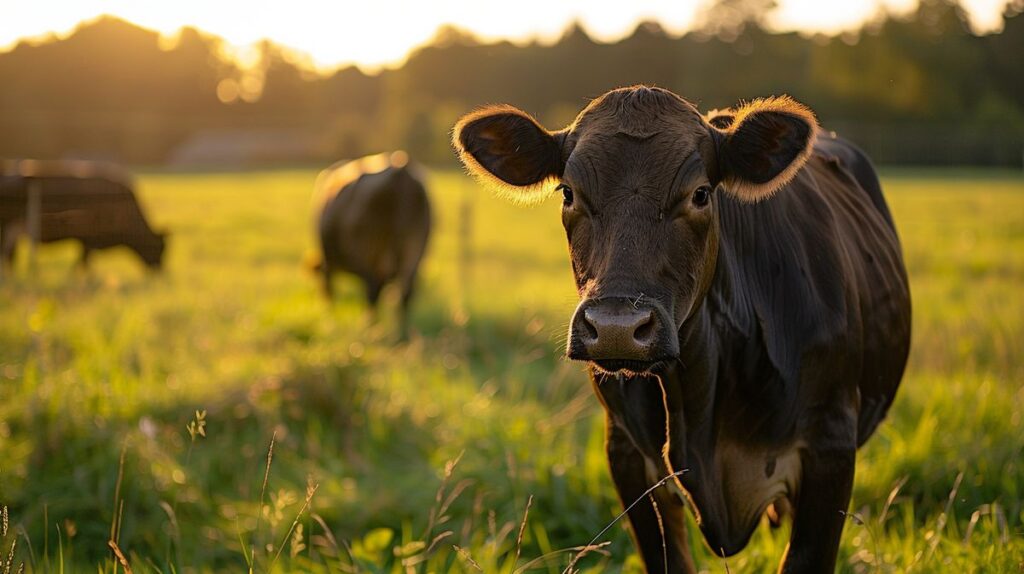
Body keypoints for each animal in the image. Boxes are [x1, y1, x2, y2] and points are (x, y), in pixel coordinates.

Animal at [0, 159, 165, 270]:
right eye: (160, 248)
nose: (159, 270)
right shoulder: (89, 239)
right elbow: (83, 262)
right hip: (9, 227)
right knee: (7, 255)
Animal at [313, 151, 430, 335]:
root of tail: (400, 171)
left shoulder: (328, 263)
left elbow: (330, 289)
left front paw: (329, 318)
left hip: (370, 253)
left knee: (373, 290)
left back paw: (369, 329)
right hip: (415, 250)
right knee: (405, 292)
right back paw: (401, 333)